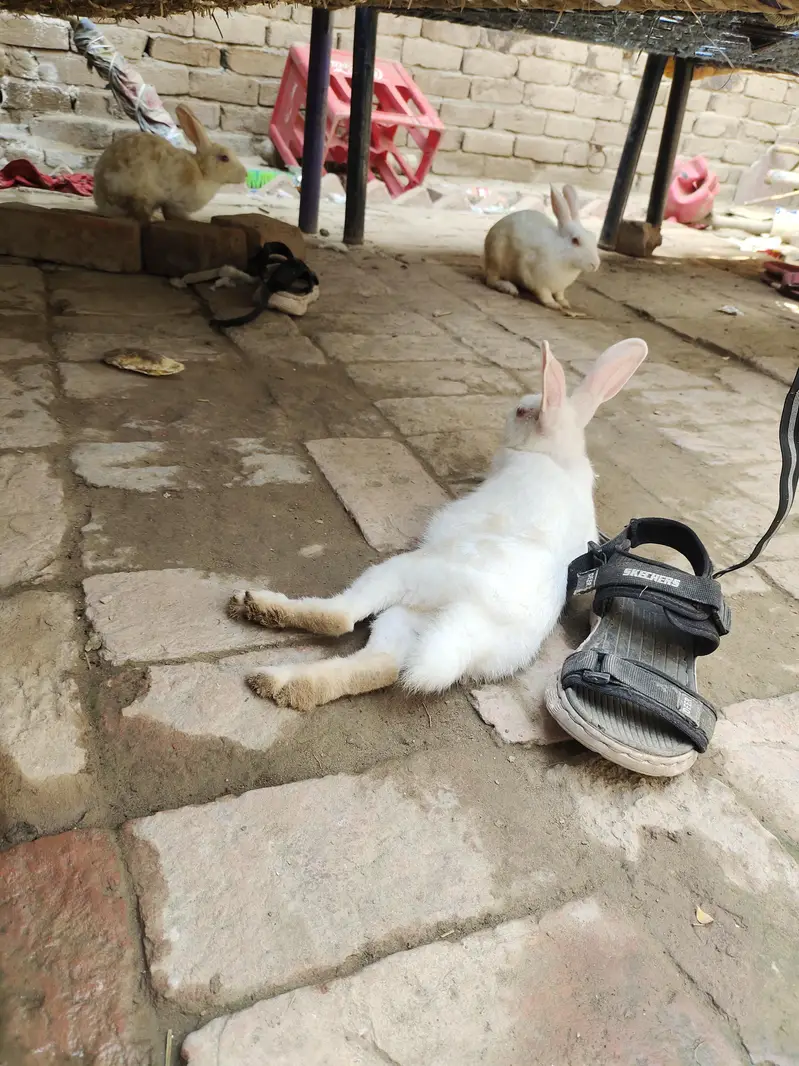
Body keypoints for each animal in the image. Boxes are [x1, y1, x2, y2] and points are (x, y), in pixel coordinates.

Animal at [93, 103, 247, 224]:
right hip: (139, 193)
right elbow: (173, 214)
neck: (202, 172)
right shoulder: (175, 202)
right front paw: (189, 220)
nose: (245, 174)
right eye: (224, 158)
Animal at [227, 336, 648, 712]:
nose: (508, 417)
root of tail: (476, 630)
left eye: (521, 412)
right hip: (410, 619)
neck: (557, 456)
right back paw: (281, 684)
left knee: (341, 617)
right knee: (381, 664)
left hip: (406, 575)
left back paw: (257, 612)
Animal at [484, 184, 601, 317]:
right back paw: (509, 288)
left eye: (593, 237)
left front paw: (564, 303)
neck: (562, 254)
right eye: (575, 240)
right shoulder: (535, 277)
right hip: (496, 255)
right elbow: (545, 294)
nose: (595, 265)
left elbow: (560, 295)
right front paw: (553, 305)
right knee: (491, 280)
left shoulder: (560, 288)